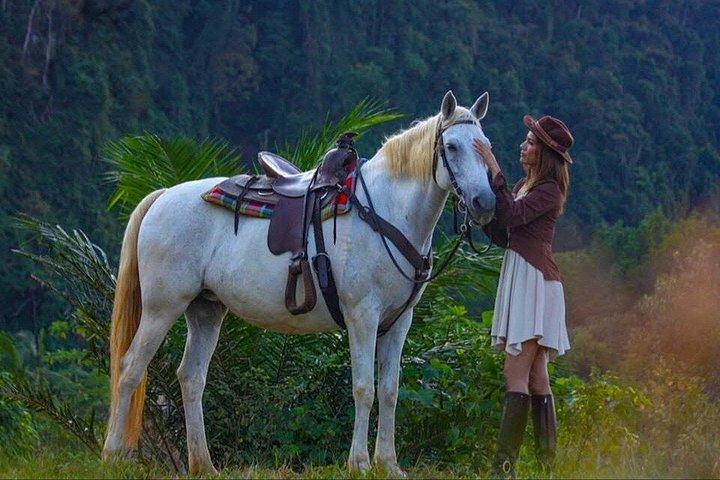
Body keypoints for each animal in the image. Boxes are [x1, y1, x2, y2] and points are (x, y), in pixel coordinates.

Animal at [101, 90, 495, 476]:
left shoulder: (399, 322)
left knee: (191, 377)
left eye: (485, 144)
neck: (384, 212)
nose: (484, 202)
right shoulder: (362, 316)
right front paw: (359, 462)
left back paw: (204, 464)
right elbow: (363, 388)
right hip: (162, 307)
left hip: (206, 309)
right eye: (452, 147)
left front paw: (388, 463)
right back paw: (114, 454)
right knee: (131, 368)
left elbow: (389, 391)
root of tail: (163, 196)